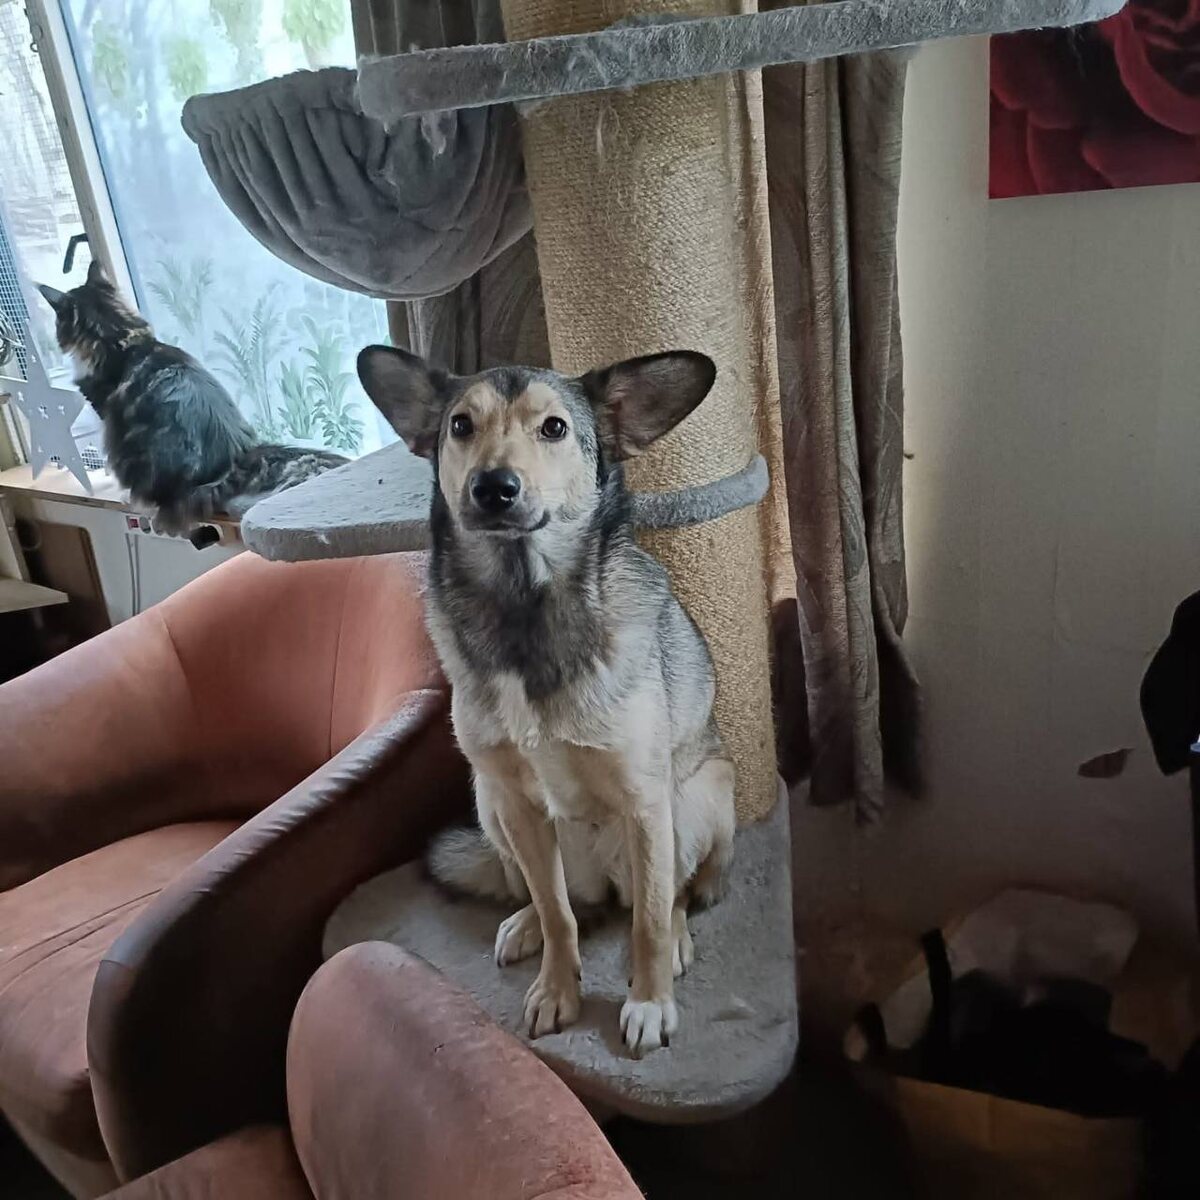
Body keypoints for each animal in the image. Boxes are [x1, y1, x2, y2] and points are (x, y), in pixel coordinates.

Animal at [357, 346, 736, 1057]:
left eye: (554, 428)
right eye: (460, 425)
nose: (493, 488)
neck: (523, 608)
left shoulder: (646, 803)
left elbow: (648, 921)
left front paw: (649, 1003)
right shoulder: (518, 804)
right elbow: (560, 914)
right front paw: (558, 988)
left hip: (696, 799)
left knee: (670, 893)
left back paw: (679, 933)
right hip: (490, 803)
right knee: (559, 899)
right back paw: (526, 922)